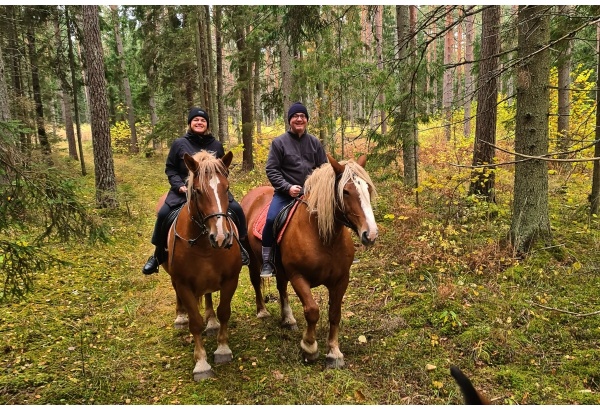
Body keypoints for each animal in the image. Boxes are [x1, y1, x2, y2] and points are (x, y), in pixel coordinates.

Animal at [162, 151, 244, 382]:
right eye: (197, 191)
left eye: (226, 187)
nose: (221, 237)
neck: (205, 246)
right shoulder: (183, 284)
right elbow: (195, 322)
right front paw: (201, 363)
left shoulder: (230, 280)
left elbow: (224, 311)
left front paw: (222, 349)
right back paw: (180, 316)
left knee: (208, 295)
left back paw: (212, 322)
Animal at [238, 154, 376, 368]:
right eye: (345, 191)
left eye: (367, 188)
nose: (370, 234)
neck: (324, 237)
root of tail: (252, 194)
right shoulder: (298, 276)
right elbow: (312, 310)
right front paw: (309, 348)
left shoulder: (341, 280)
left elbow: (334, 313)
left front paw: (334, 353)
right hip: (254, 260)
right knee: (256, 281)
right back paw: (262, 311)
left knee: (281, 287)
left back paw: (288, 319)